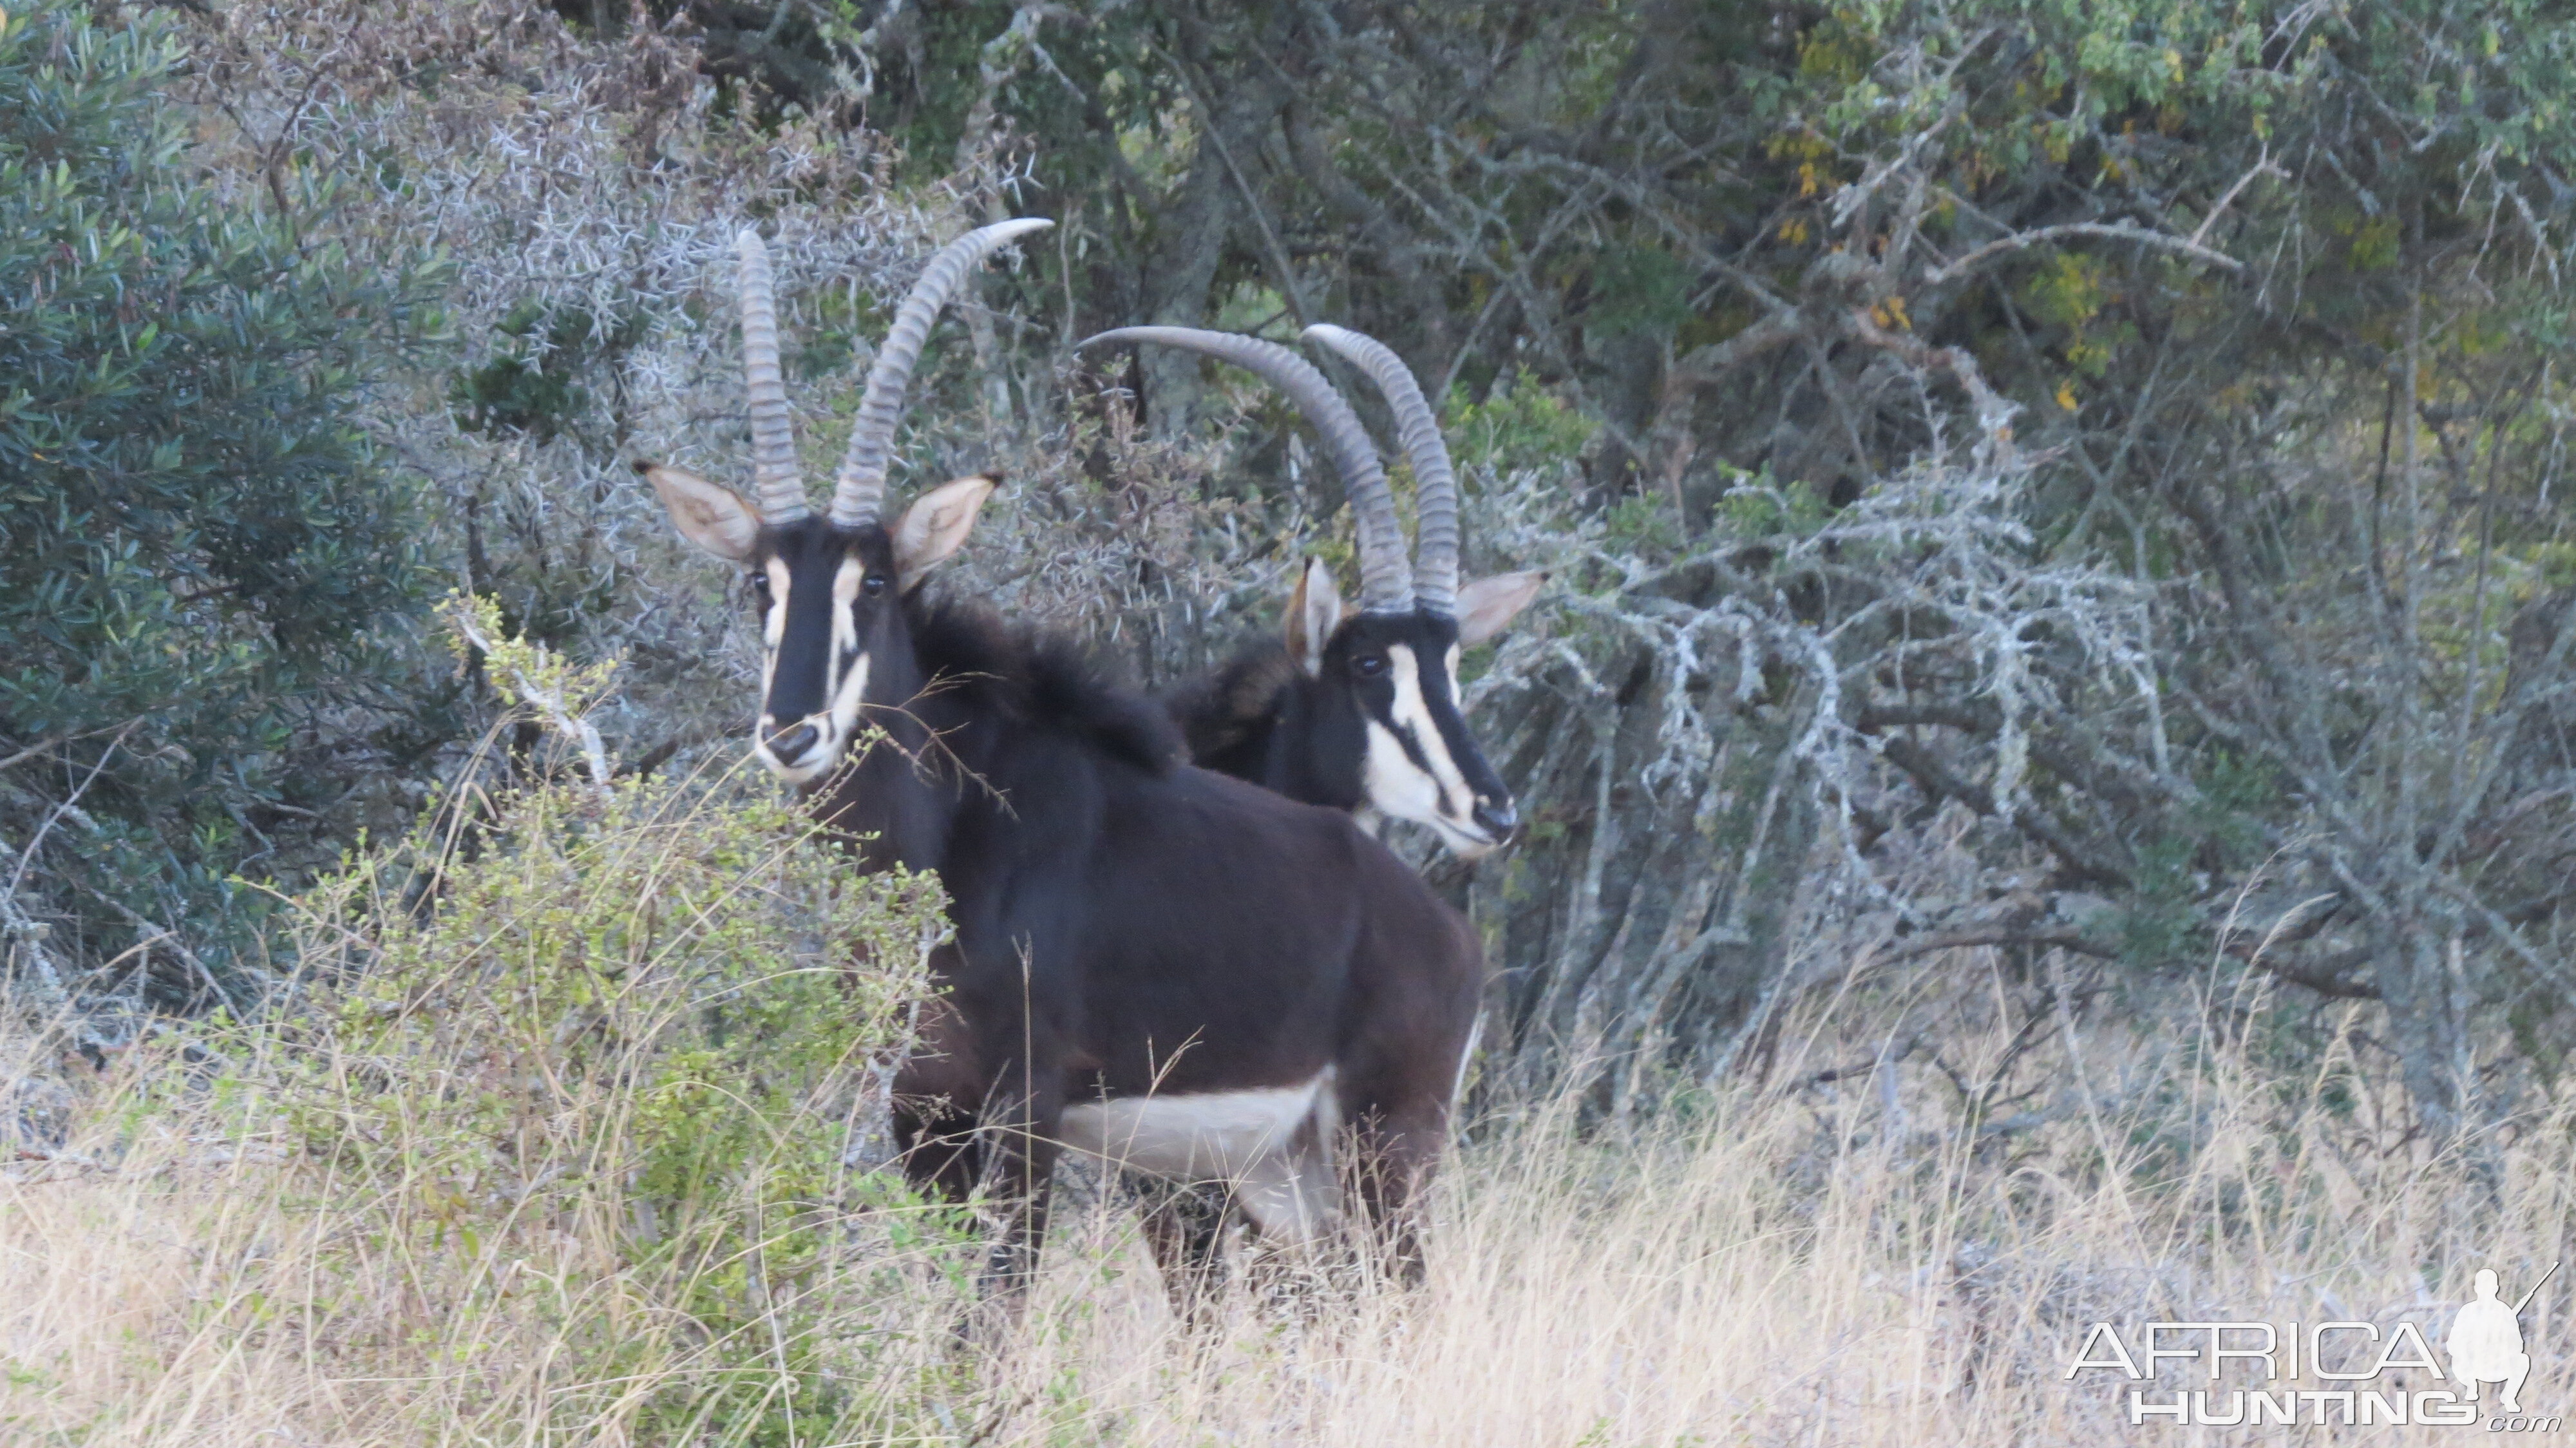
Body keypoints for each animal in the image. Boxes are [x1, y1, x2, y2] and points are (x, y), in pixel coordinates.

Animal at [631, 220, 1484, 1304]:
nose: (792, 735)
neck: (947, 839)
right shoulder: (923, 1109)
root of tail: (1447, 934)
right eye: (760, 584)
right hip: (1286, 1173)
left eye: (876, 585)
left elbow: (995, 1308)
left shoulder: (1027, 1110)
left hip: (1386, 1147)